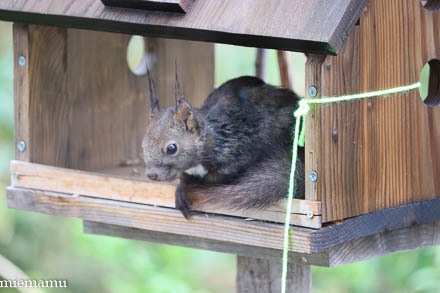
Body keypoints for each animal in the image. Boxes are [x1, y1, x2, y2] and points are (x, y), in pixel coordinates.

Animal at [143, 70, 304, 217]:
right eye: (143, 145)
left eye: (172, 148)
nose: (151, 175)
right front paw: (181, 188)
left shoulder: (239, 151)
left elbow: (214, 178)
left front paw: (194, 183)